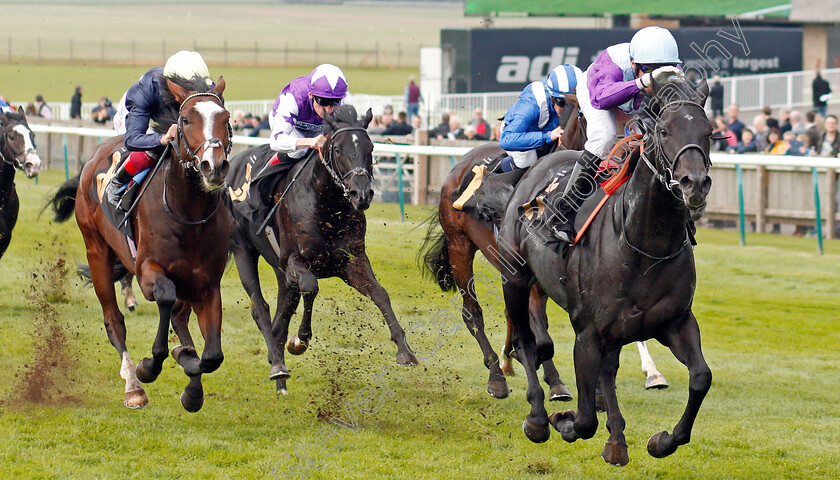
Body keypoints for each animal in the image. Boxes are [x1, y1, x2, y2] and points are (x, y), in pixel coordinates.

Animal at [50, 77, 231, 410]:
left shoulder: (207, 285)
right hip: (96, 250)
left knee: (180, 318)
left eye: (225, 119)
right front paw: (149, 366)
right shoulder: (147, 269)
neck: (188, 213)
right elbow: (164, 297)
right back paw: (133, 386)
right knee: (114, 321)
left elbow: (212, 355)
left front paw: (190, 378)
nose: (214, 167)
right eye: (186, 120)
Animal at [226, 105, 416, 394]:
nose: (361, 194)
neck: (325, 205)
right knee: (261, 308)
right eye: (337, 149)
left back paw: (280, 373)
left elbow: (380, 294)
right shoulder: (294, 260)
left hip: (280, 271)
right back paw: (277, 365)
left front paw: (404, 351)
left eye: (371, 147)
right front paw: (301, 340)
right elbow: (311, 287)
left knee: (282, 313)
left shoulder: (351, 261)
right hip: (243, 250)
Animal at [492, 78, 716, 464]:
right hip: (516, 279)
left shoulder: (674, 321)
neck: (644, 243)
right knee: (524, 341)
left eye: (709, 132)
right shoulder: (588, 333)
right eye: (664, 130)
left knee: (608, 371)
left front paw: (662, 440)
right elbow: (583, 421)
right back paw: (537, 417)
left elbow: (701, 377)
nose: (695, 183)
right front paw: (562, 419)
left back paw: (617, 440)